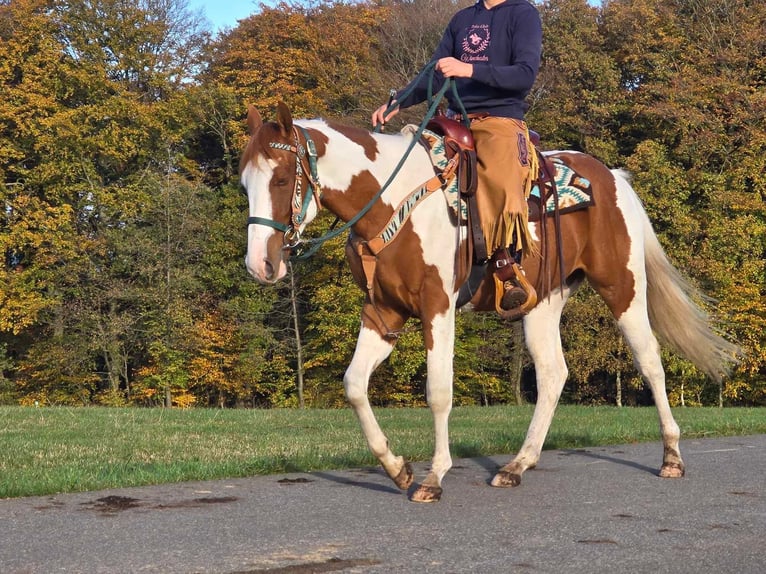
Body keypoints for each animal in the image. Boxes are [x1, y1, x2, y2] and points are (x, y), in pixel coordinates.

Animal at [243, 102, 740, 504]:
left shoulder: (437, 308)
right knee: (553, 374)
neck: (392, 202)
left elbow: (438, 392)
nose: (260, 264)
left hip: (623, 289)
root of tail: (612, 177)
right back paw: (517, 465)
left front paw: (433, 478)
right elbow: (353, 385)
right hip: (543, 303)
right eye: (245, 183)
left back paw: (671, 457)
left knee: (650, 362)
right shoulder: (383, 313)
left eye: (283, 178)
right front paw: (398, 469)